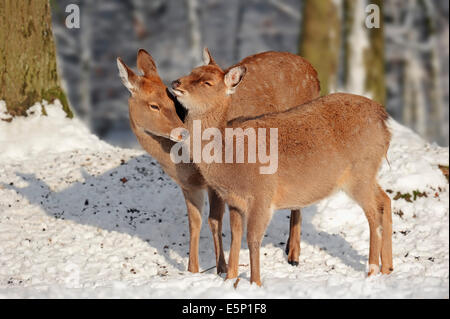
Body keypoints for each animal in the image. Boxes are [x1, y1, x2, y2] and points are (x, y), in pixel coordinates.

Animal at [116, 47, 320, 276]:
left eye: (172, 103)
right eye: (154, 105)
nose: (182, 132)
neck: (182, 163)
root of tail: (313, 71)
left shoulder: (216, 183)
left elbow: (214, 220)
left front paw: (221, 268)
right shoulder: (187, 185)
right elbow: (194, 222)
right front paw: (192, 269)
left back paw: (294, 255)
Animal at [171, 63, 392, 286]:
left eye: (207, 82)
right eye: (192, 71)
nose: (176, 82)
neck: (229, 161)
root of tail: (384, 119)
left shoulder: (262, 195)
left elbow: (253, 239)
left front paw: (255, 283)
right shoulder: (234, 201)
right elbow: (235, 235)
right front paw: (230, 278)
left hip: (360, 173)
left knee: (373, 213)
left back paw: (372, 270)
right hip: (368, 173)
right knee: (385, 200)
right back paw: (388, 268)